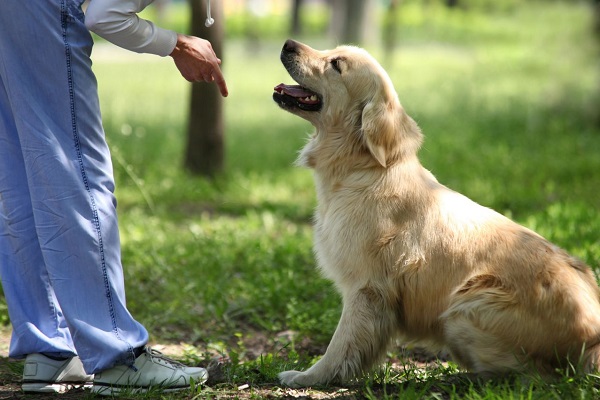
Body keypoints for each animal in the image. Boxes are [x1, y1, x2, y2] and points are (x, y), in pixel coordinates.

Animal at [272, 39, 600, 388]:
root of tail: (593, 339)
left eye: (336, 64)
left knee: (535, 375)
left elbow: (340, 346)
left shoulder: (367, 288)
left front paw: (309, 376)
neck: (364, 169)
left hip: (465, 307)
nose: (288, 43)